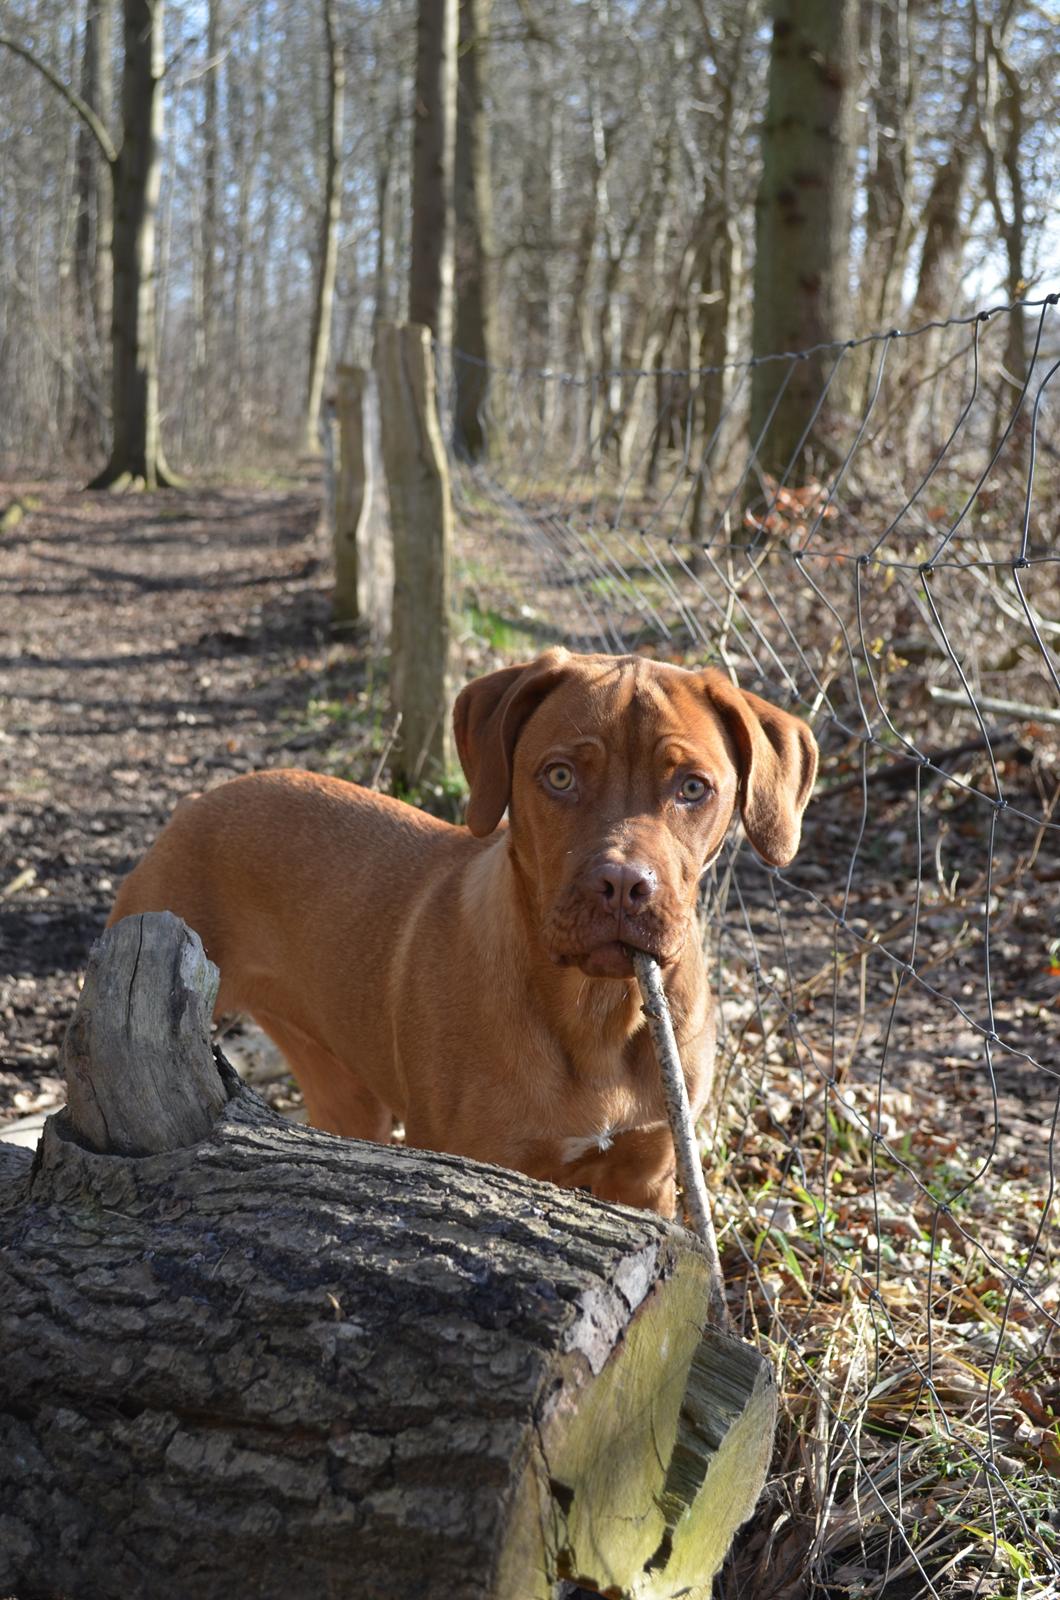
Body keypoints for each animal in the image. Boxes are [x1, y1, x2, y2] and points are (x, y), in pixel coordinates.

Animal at [109, 649, 819, 1209]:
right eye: (559, 776)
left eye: (694, 788)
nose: (622, 886)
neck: (593, 1012)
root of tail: (196, 803)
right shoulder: (477, 1163)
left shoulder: (647, 1177)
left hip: (344, 1085)